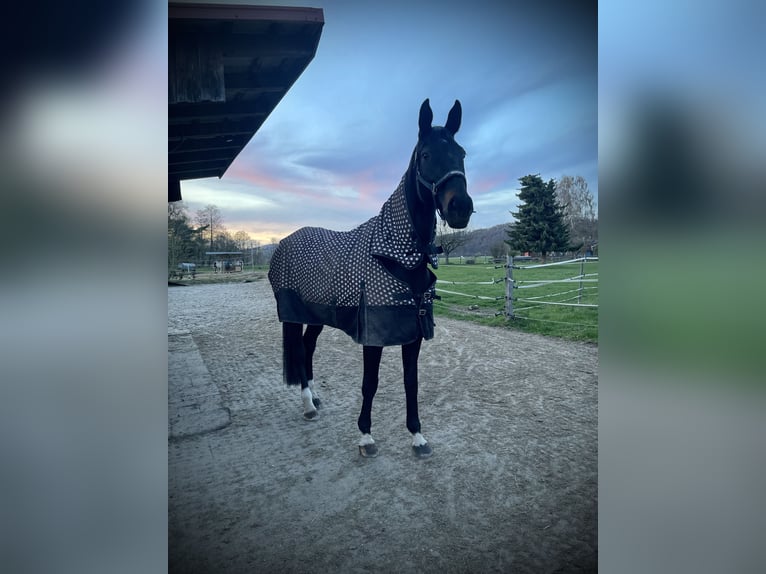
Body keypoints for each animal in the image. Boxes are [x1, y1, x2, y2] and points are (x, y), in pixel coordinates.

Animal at [268, 99, 473, 458]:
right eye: (426, 155)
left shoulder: (414, 333)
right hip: (292, 315)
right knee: (299, 350)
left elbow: (411, 381)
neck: (396, 256)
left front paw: (417, 436)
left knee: (307, 348)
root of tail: (285, 241)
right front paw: (365, 436)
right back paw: (308, 405)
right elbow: (370, 383)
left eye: (461, 153)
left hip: (318, 316)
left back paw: (315, 398)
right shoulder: (373, 335)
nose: (460, 207)